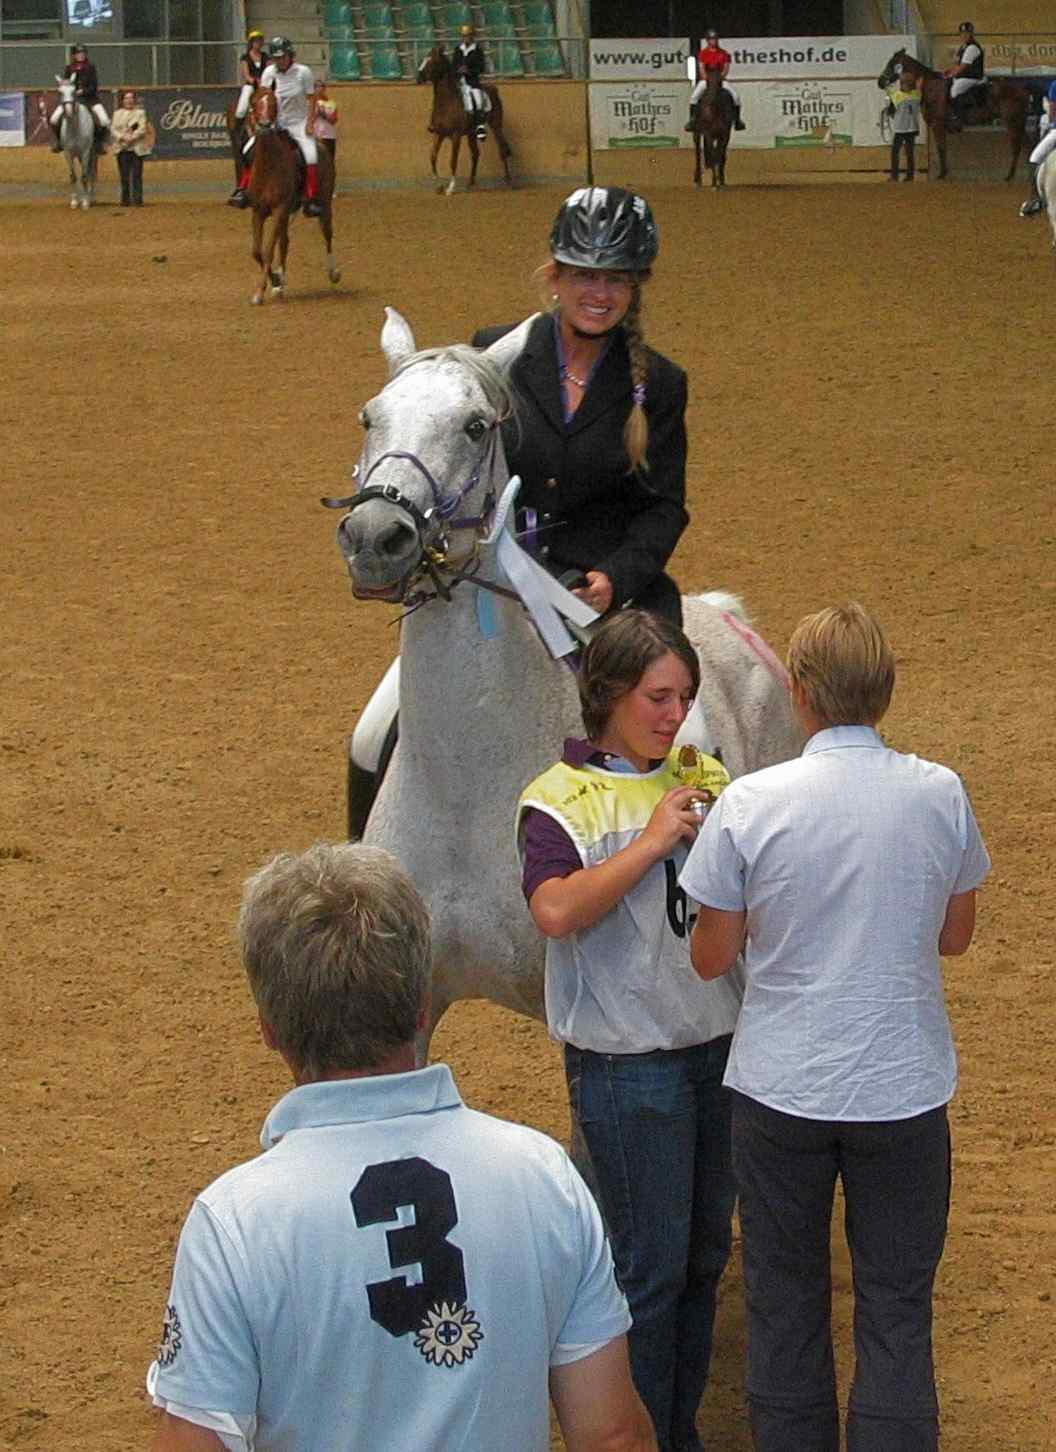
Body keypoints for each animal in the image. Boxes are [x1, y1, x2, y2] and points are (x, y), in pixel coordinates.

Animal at [54, 76, 97, 209]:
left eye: (74, 91)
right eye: (60, 92)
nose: (68, 112)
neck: (74, 127)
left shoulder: (86, 152)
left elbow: (84, 177)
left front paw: (85, 202)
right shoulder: (68, 153)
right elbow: (73, 177)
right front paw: (74, 201)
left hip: (92, 154)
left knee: (91, 173)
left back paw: (90, 197)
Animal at [242, 87, 338, 303]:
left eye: (273, 103)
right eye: (254, 102)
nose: (264, 126)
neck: (269, 165)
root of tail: (321, 146)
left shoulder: (279, 209)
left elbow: (268, 250)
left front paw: (260, 292)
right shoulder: (258, 210)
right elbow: (256, 251)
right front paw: (275, 281)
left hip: (324, 203)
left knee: (327, 233)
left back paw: (334, 272)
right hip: (286, 214)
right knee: (285, 242)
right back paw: (280, 283)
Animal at [331, 309, 801, 1045]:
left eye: (475, 426)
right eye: (369, 416)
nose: (376, 537)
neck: (467, 779)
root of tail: (728, 617)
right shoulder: (416, 998)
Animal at [418, 46, 511, 197]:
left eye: (433, 61)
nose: (418, 77)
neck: (446, 103)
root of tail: (493, 88)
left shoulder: (455, 136)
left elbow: (452, 161)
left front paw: (450, 188)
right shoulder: (439, 134)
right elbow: (432, 157)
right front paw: (439, 186)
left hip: (496, 125)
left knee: (502, 149)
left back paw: (508, 181)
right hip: (471, 133)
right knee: (475, 154)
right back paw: (470, 183)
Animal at [877, 48, 1034, 181]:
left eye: (891, 64)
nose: (880, 82)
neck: (931, 87)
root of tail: (1023, 90)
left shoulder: (937, 125)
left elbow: (941, 147)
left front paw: (942, 174)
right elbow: (943, 148)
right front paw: (944, 172)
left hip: (1013, 123)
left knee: (1017, 147)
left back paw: (1010, 176)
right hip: (1018, 123)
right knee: (1027, 146)